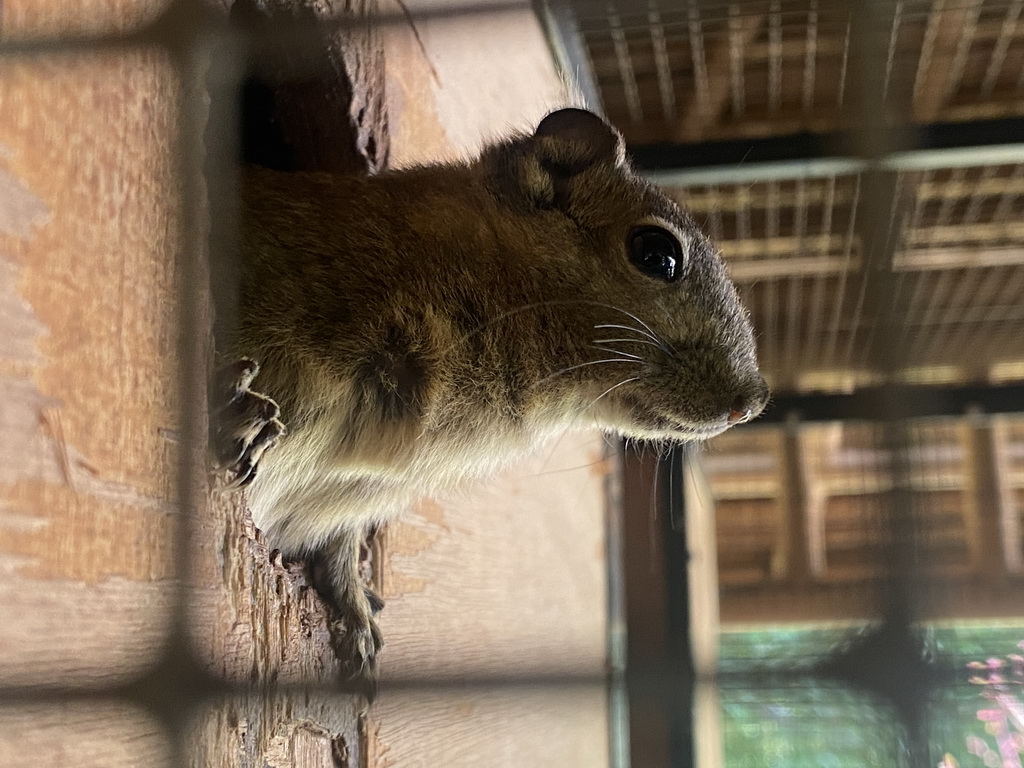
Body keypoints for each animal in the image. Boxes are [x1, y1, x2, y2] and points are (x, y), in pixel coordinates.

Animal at [209, 109, 770, 696]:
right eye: (657, 254)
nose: (751, 403)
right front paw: (234, 406)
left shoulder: (350, 497)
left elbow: (338, 544)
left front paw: (354, 606)